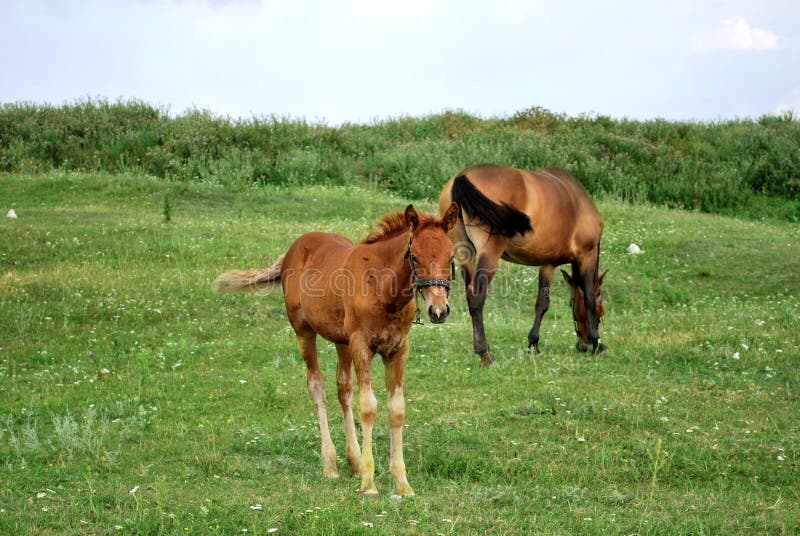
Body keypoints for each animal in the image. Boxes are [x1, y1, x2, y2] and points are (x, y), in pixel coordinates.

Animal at [213, 203, 459, 497]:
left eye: (451, 255)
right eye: (414, 256)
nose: (438, 310)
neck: (382, 288)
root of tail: (293, 249)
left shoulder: (398, 349)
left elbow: (397, 409)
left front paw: (402, 484)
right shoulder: (361, 345)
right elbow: (368, 406)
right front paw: (369, 484)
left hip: (342, 341)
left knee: (343, 388)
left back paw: (354, 461)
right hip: (305, 332)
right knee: (317, 385)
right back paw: (330, 465)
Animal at [438, 164, 607, 366]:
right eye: (601, 312)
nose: (583, 345)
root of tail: (462, 177)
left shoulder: (548, 264)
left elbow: (542, 303)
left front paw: (533, 344)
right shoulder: (587, 255)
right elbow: (589, 297)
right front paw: (597, 342)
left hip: (466, 255)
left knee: (470, 298)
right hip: (489, 255)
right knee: (476, 296)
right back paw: (485, 354)